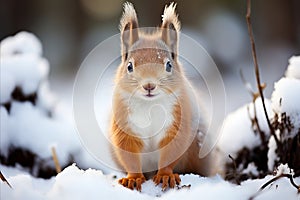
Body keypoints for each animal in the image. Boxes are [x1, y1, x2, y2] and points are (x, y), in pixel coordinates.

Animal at [109, 2, 217, 191]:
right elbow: (129, 156)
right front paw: (133, 178)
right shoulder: (125, 127)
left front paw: (165, 176)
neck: (150, 106)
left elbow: (170, 152)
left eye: (168, 65)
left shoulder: (177, 123)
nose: (149, 85)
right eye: (129, 66)